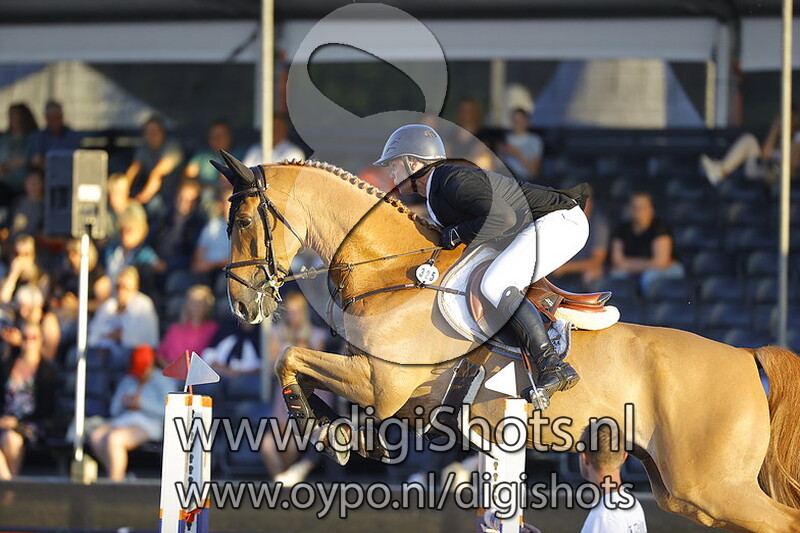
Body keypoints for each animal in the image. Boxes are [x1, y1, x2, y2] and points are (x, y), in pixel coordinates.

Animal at [213, 151, 800, 532]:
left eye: (240, 221)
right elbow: (299, 365)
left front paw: (321, 427)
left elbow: (290, 357)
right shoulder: (392, 390)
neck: (393, 271)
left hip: (713, 486)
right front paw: (342, 433)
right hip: (684, 490)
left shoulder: (381, 382)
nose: (242, 306)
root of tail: (744, 354)